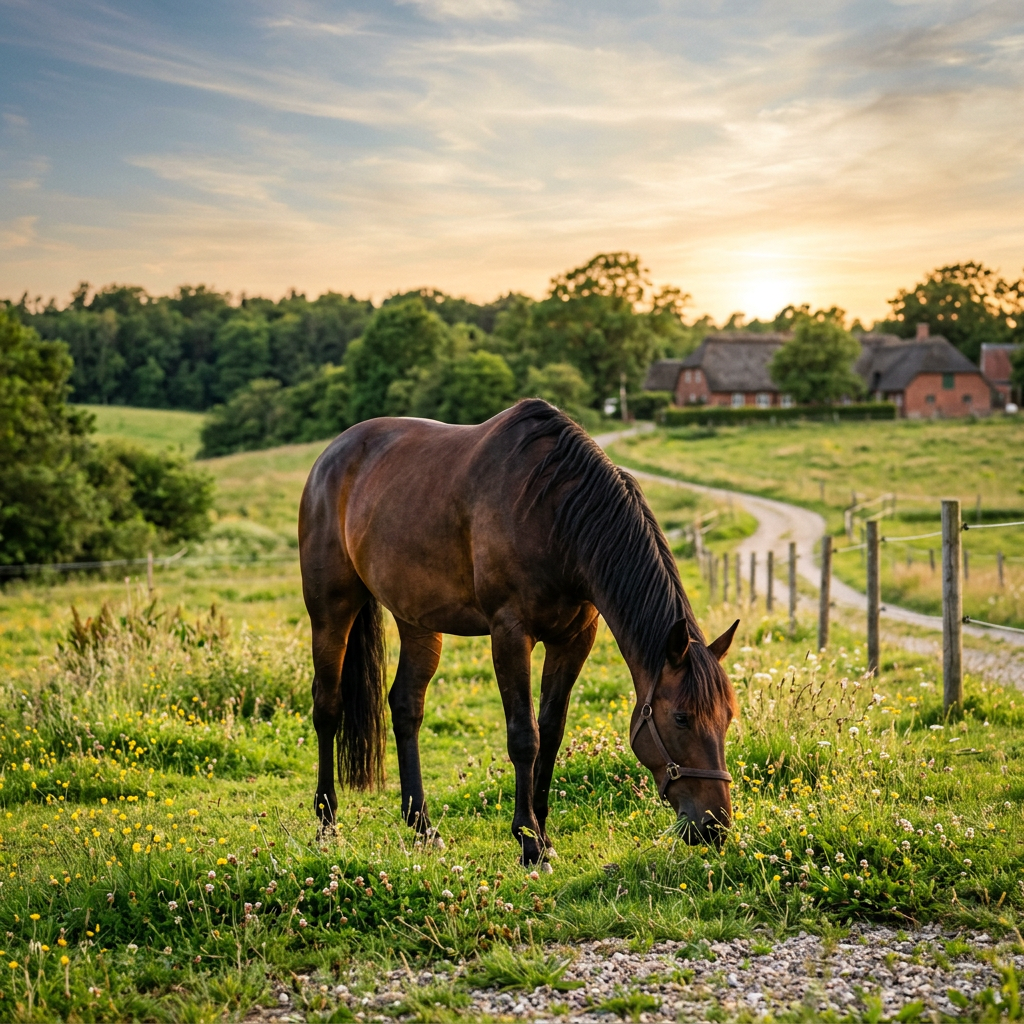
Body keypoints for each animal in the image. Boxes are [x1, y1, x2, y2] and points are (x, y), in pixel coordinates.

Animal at [298, 399, 737, 864]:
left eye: (727, 717)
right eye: (681, 718)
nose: (715, 825)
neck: (556, 516)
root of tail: (331, 456)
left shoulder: (574, 639)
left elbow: (551, 732)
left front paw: (543, 831)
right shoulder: (509, 633)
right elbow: (524, 735)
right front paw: (529, 842)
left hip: (417, 621)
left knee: (405, 707)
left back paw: (422, 826)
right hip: (331, 610)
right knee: (327, 707)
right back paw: (326, 824)